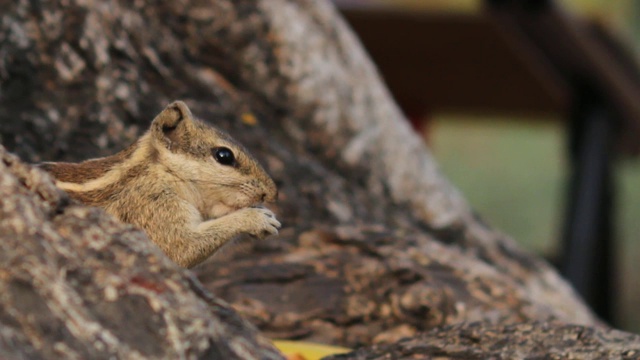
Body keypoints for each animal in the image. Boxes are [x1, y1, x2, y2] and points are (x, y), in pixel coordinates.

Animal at [39, 100, 280, 268]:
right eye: (224, 155)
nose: (271, 194)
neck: (161, 174)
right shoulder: (152, 210)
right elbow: (182, 249)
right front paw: (257, 219)